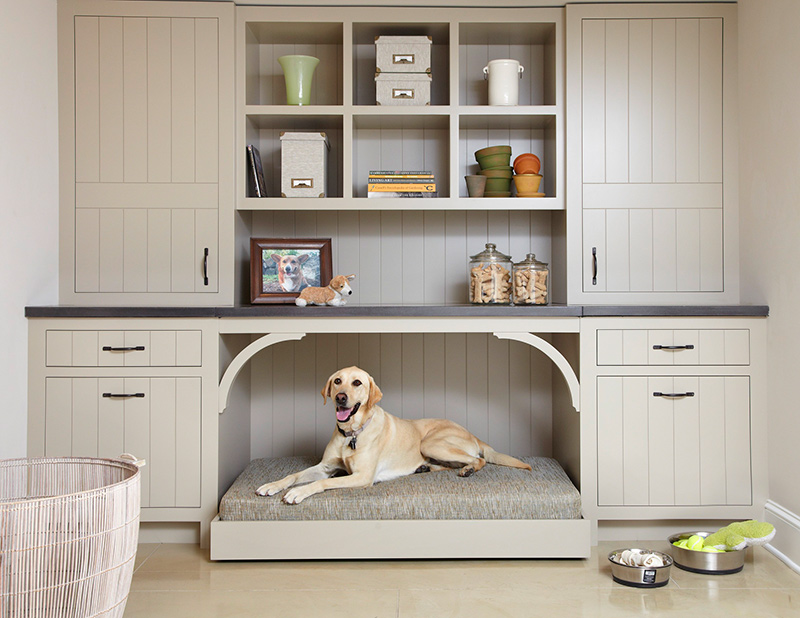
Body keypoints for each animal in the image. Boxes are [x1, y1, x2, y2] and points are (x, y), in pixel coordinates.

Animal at [256, 366, 532, 500]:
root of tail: (473, 434)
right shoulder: (325, 467)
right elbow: (294, 475)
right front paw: (272, 485)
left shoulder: (362, 477)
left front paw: (297, 493)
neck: (352, 434)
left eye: (357, 382)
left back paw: (468, 469)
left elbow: (322, 483)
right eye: (337, 381)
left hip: (431, 443)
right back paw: (426, 467)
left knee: (478, 459)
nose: (341, 397)